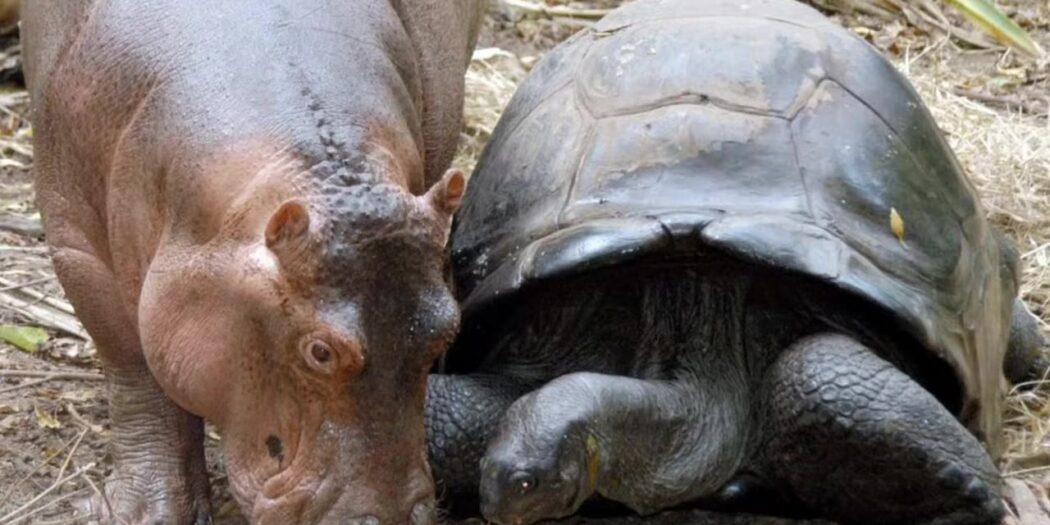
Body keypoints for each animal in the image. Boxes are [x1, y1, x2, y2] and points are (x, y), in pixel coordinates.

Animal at [23, 1, 483, 523]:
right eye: (320, 351)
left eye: (448, 330)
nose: (392, 518)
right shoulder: (77, 250)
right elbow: (135, 372)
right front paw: (144, 513)